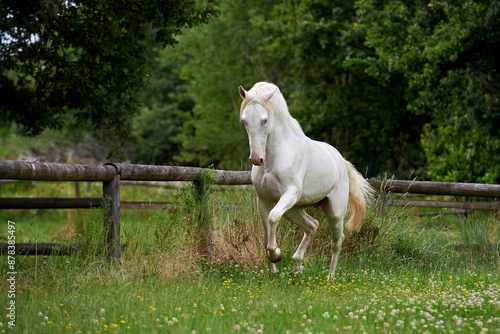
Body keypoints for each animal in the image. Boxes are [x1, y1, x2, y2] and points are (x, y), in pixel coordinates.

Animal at [238, 82, 376, 278]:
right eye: (245, 121)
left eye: (264, 120)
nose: (257, 159)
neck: (275, 158)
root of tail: (340, 160)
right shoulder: (263, 200)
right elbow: (266, 233)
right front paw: (273, 270)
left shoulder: (290, 193)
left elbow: (273, 218)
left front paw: (277, 255)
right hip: (293, 210)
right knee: (312, 225)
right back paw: (298, 266)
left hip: (334, 212)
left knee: (336, 242)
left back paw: (330, 277)